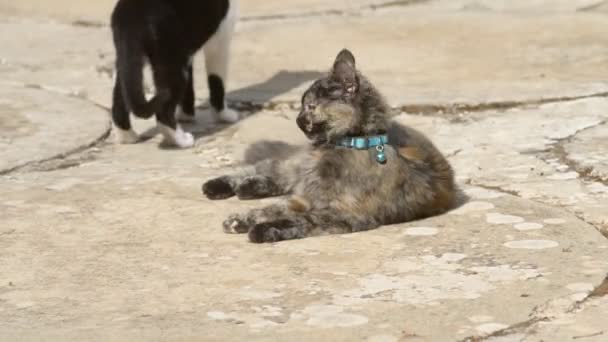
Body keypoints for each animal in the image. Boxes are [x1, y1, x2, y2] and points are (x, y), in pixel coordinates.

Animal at [110, 0, 239, 148]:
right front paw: (224, 115)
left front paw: (186, 116)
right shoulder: (220, 40)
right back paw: (182, 140)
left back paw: (127, 137)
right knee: (163, 113)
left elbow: (189, 89)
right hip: (172, 62)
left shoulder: (188, 53)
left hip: (129, 58)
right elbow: (218, 83)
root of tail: (129, 13)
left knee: (120, 96)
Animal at [203, 48, 456, 243]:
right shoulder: (303, 199)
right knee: (267, 169)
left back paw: (246, 188)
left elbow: (298, 219)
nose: (297, 121)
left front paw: (262, 229)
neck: (348, 145)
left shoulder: (343, 213)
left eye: (310, 107)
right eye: (303, 107)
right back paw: (220, 185)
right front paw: (241, 219)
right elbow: (270, 209)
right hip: (293, 167)